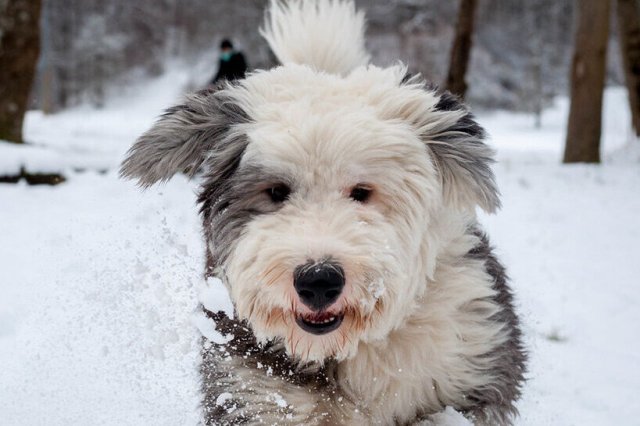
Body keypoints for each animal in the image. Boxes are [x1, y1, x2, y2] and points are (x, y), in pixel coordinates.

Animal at [120, 0, 524, 422]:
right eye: (276, 192)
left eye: (361, 192)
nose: (318, 280)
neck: (344, 346)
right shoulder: (247, 386)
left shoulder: (471, 354)